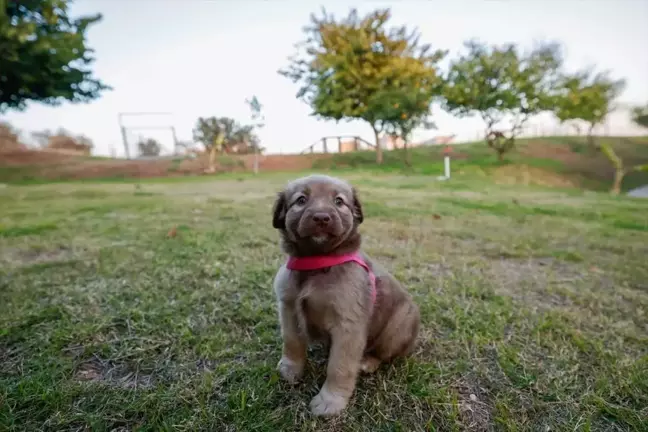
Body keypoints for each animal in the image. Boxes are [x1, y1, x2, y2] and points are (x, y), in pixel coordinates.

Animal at [270, 174, 418, 416]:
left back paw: (367, 362)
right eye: (301, 200)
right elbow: (291, 342)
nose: (322, 218)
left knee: (382, 353)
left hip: (397, 327)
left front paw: (330, 401)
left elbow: (339, 367)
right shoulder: (288, 308)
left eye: (339, 202)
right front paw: (290, 369)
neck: (317, 262)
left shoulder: (348, 325)